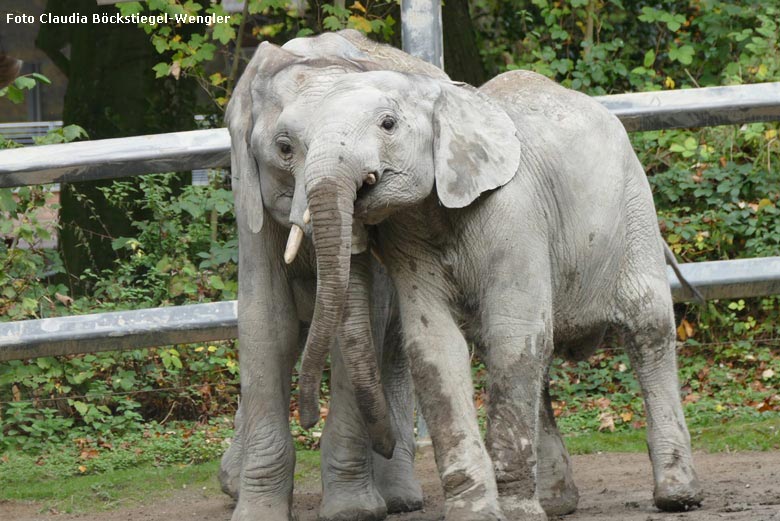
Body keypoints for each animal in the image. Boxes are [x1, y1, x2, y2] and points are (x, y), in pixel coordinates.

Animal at [221, 31, 450, 520]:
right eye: (284, 148)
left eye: (384, 129)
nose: (308, 416)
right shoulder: (248, 200)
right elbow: (265, 325)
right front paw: (256, 511)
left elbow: (358, 328)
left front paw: (353, 511)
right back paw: (230, 481)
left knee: (392, 350)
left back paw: (398, 497)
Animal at [284, 69, 704, 520]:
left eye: (388, 124)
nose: (307, 420)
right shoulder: (407, 233)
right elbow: (437, 346)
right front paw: (476, 511)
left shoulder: (514, 212)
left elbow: (513, 332)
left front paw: (515, 513)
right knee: (532, 356)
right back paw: (556, 503)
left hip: (635, 209)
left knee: (648, 329)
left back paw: (677, 497)